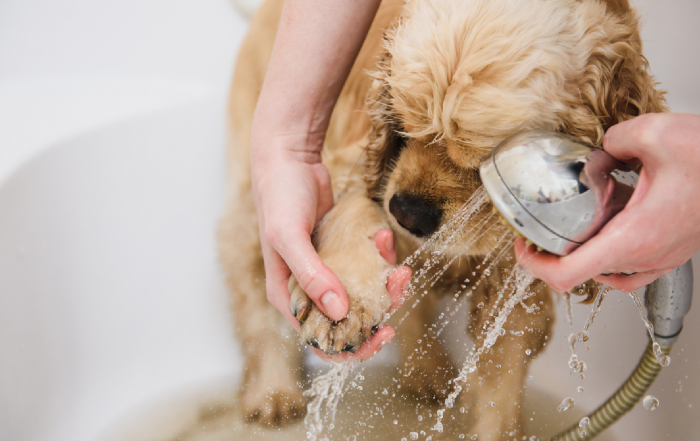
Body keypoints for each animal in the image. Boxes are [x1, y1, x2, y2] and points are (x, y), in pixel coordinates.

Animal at [219, 0, 668, 436]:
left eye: (485, 161)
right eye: (403, 123)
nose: (407, 214)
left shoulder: (516, 284)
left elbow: (499, 389)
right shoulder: (355, 163)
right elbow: (351, 211)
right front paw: (339, 307)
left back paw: (427, 373)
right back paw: (274, 393)